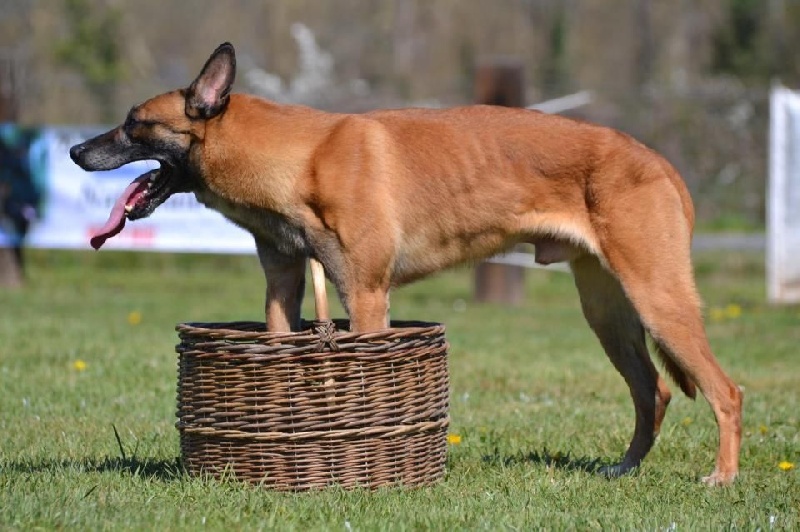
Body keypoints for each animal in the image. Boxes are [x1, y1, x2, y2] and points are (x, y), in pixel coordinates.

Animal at [69, 43, 744, 484]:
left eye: (134, 125)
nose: (75, 150)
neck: (298, 158)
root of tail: (657, 161)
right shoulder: (283, 289)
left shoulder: (367, 296)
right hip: (610, 316)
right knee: (653, 391)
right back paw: (623, 469)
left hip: (659, 302)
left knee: (726, 391)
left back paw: (722, 478)